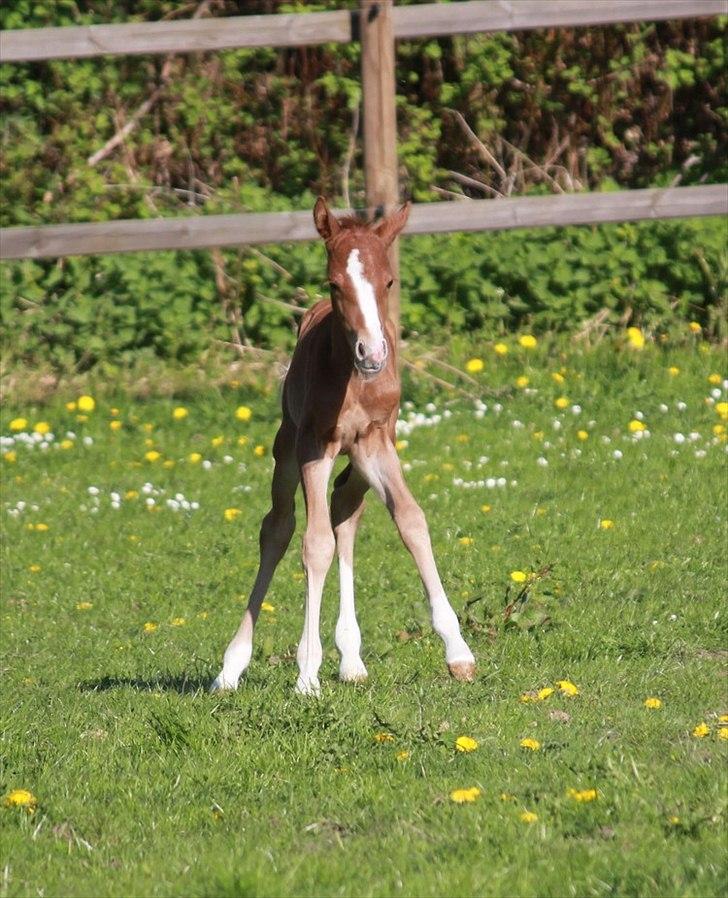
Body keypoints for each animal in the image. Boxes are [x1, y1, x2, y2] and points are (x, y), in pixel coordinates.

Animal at [210, 200, 474, 696]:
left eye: (388, 281)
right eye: (335, 283)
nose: (373, 354)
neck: (353, 379)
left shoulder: (376, 444)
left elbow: (411, 521)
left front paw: (458, 652)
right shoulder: (316, 445)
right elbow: (314, 545)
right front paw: (306, 674)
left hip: (360, 465)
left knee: (345, 516)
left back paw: (350, 657)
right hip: (287, 448)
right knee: (278, 528)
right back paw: (232, 666)